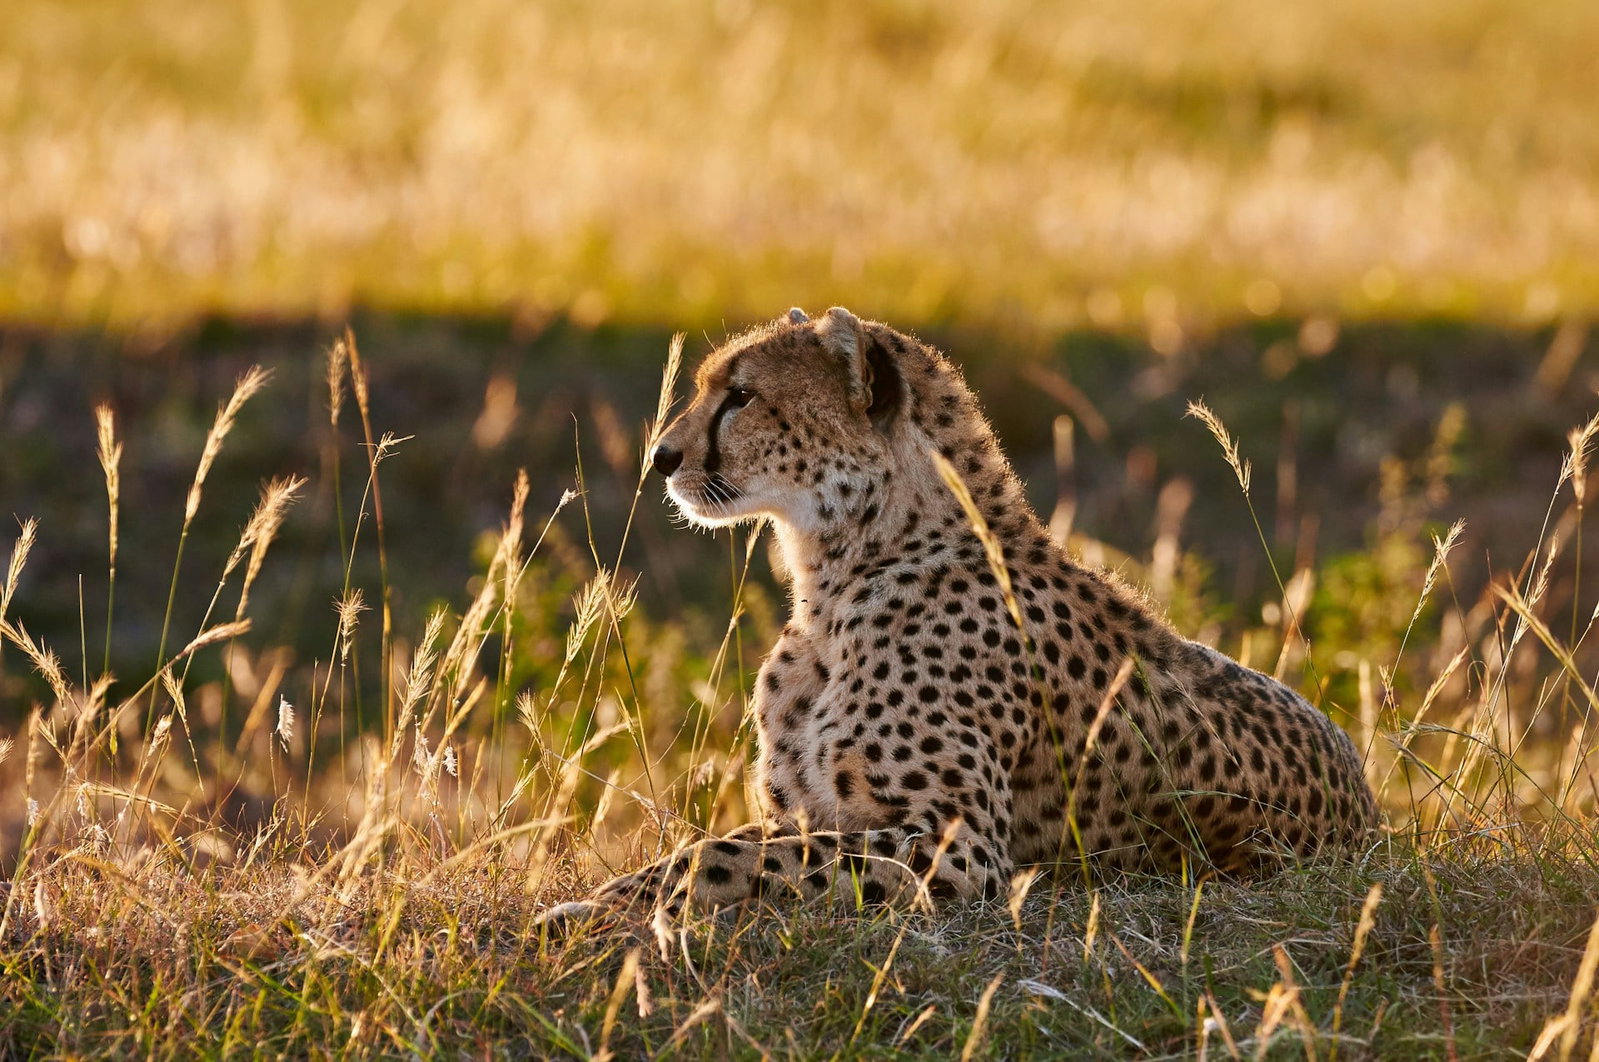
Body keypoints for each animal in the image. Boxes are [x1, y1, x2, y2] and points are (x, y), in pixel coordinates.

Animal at [538, 306, 1377, 932]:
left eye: (741, 395)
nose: (661, 457)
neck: (841, 576)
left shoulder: (959, 846)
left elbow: (724, 853)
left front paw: (604, 910)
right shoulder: (810, 810)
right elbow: (729, 842)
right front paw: (598, 905)